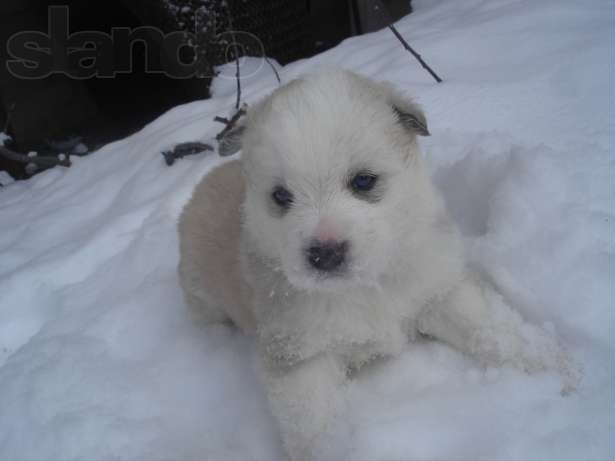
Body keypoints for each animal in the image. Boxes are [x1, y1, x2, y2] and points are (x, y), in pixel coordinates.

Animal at [177, 69, 576, 460]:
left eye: (363, 181)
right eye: (281, 196)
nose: (325, 253)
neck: (367, 285)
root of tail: (198, 188)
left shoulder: (439, 289)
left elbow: (493, 330)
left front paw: (555, 368)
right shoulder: (300, 357)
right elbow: (316, 426)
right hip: (202, 296)